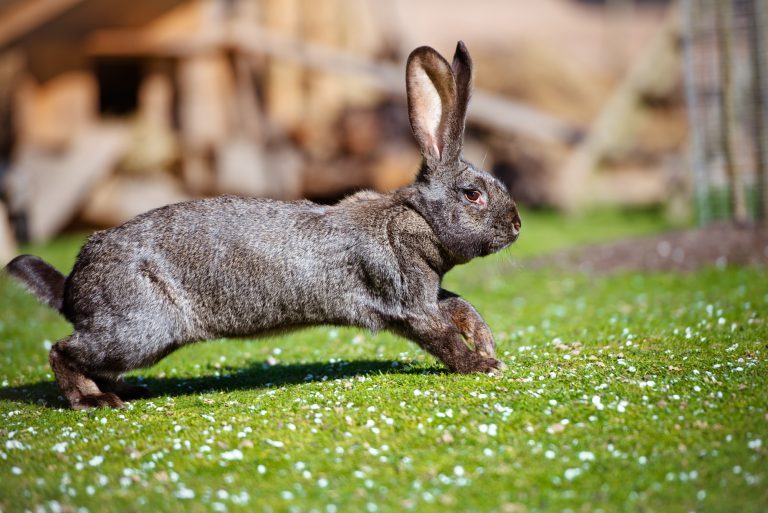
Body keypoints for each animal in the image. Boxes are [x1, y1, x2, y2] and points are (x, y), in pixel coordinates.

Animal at [5, 41, 521, 410]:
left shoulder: (428, 292)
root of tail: (73, 285)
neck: (414, 218)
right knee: (62, 350)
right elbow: (440, 335)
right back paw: (94, 401)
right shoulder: (407, 300)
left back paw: (128, 392)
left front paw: (485, 340)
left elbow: (460, 307)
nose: (516, 226)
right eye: (472, 195)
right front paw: (484, 365)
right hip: (140, 328)